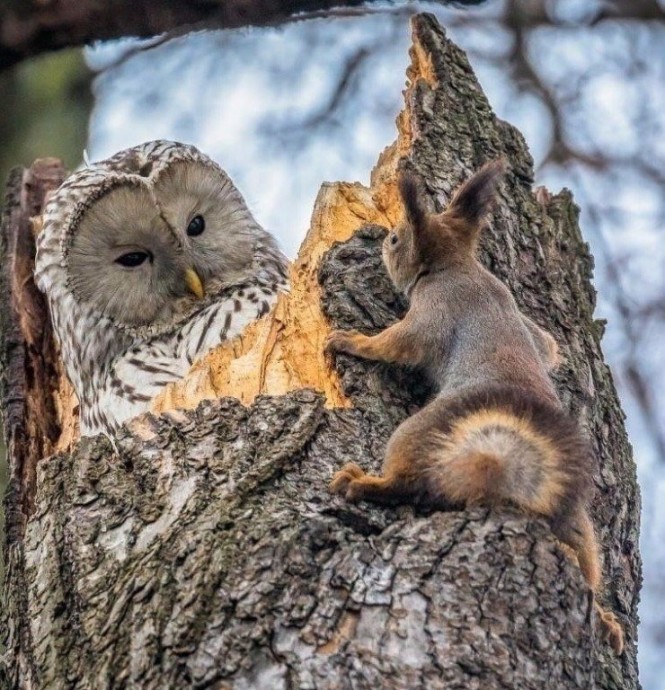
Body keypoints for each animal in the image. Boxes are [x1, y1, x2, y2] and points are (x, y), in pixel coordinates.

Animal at [326, 159, 624, 652]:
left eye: (396, 240)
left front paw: (349, 341)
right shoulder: (524, 319)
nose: (382, 239)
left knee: (409, 484)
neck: (458, 266)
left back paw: (364, 483)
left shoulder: (433, 312)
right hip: (574, 519)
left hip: (422, 431)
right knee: (583, 561)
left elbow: (396, 344)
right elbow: (550, 346)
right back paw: (604, 620)